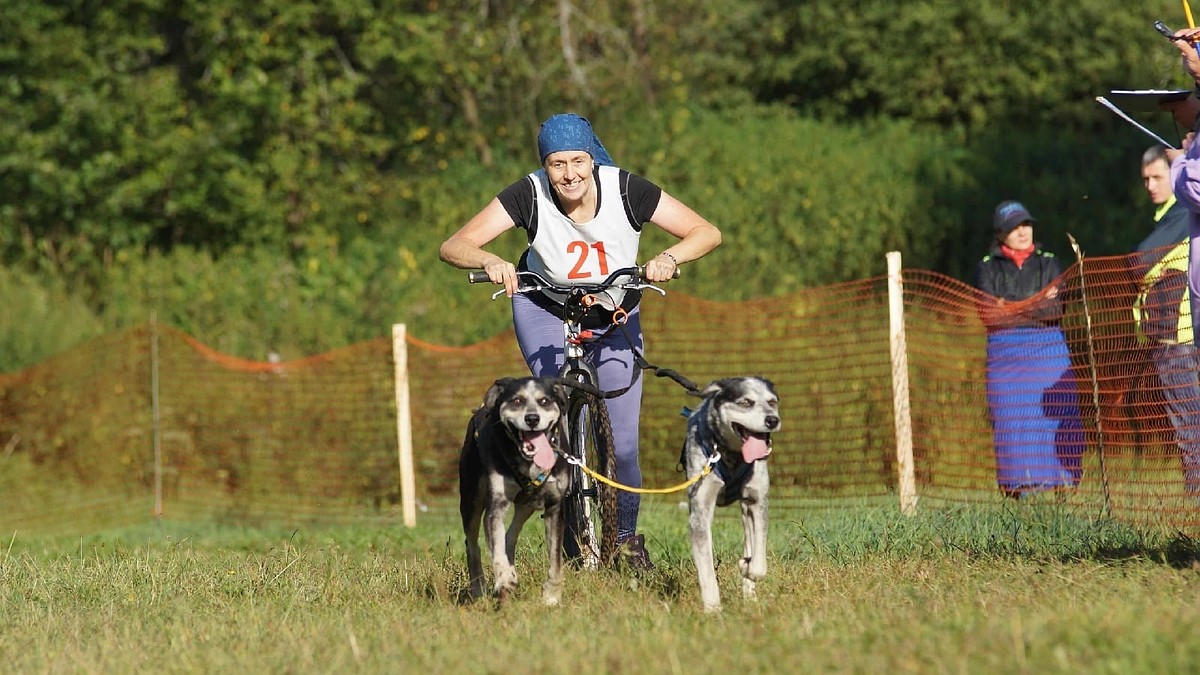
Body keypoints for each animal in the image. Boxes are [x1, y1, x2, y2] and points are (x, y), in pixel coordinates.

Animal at [458, 374, 571, 600]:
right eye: (517, 401)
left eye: (545, 401)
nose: (532, 419)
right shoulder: (496, 506)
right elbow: (496, 548)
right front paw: (504, 579)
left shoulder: (554, 507)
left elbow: (555, 558)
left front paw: (552, 595)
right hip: (471, 501)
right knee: (473, 544)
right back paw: (479, 588)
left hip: (528, 504)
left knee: (510, 535)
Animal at [681, 374, 782, 612]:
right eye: (746, 402)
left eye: (772, 402)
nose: (772, 420)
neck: (733, 457)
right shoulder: (700, 509)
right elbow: (706, 568)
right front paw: (713, 609)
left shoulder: (757, 501)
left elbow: (758, 563)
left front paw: (746, 566)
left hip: (746, 511)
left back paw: (750, 595)